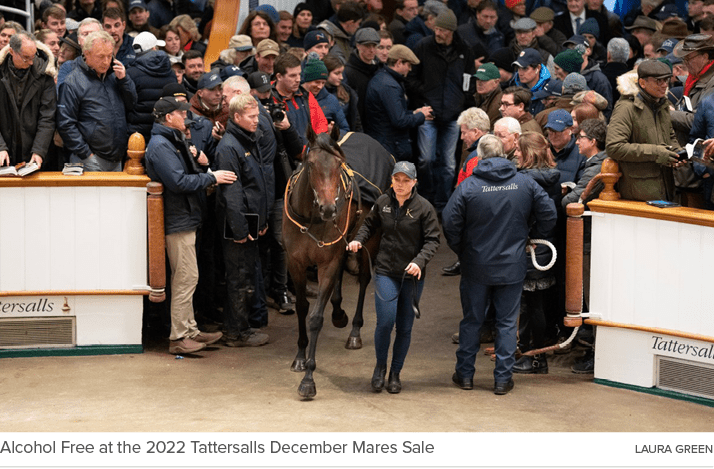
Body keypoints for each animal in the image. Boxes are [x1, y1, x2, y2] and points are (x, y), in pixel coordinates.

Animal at [280, 125, 390, 398]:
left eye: (339, 165)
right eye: (310, 164)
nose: (329, 209)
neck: (310, 219)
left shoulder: (327, 263)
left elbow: (316, 317)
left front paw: (309, 379)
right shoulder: (295, 263)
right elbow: (302, 308)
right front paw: (300, 357)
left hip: (368, 239)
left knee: (364, 279)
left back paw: (355, 331)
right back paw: (339, 312)